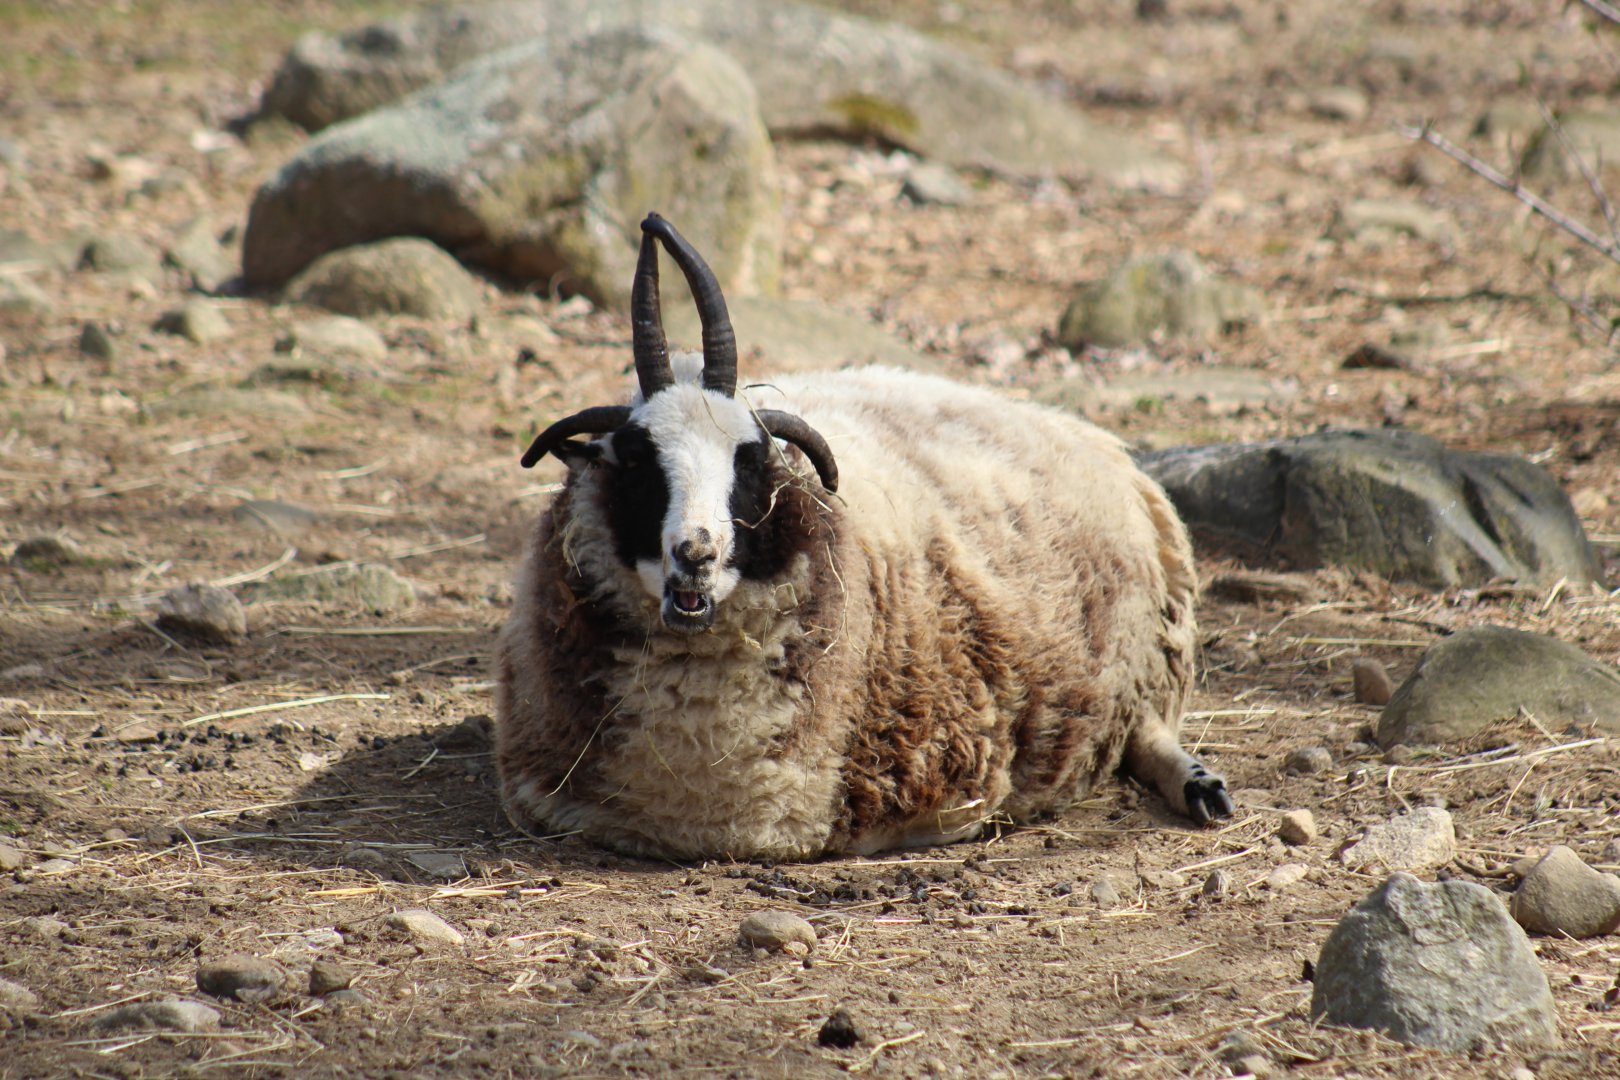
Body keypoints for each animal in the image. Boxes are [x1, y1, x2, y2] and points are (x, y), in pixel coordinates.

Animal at [495, 213, 1233, 860]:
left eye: (751, 462)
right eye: (636, 461)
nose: (696, 555)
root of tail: (1094, 436)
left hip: (1145, 661)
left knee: (1145, 730)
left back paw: (1202, 788)